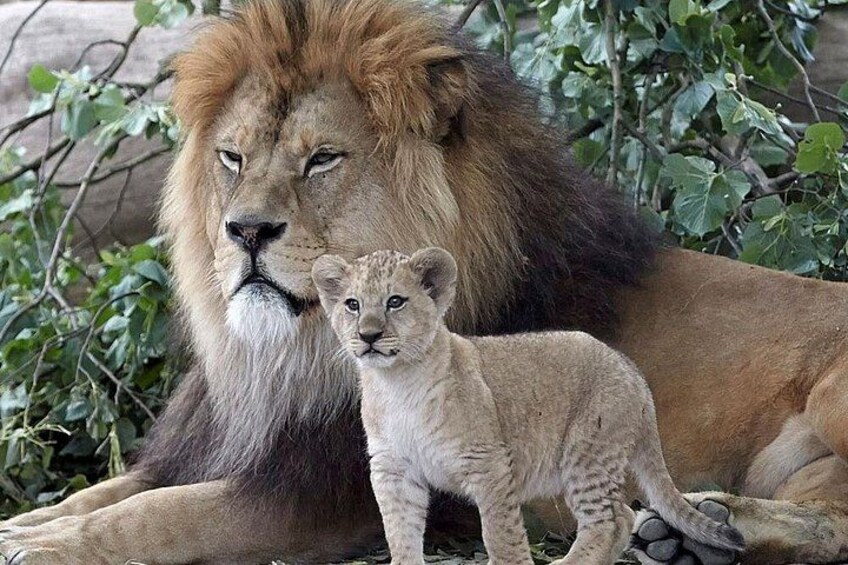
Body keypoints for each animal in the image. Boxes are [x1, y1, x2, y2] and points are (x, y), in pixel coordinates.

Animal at [0, 0, 846, 564]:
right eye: (232, 157)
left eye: (322, 159)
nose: (245, 231)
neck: (284, 356)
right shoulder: (208, 452)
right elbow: (104, 492)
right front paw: (22, 526)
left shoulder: (323, 495)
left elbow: (151, 517)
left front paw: (39, 548)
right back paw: (689, 532)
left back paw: (698, 523)